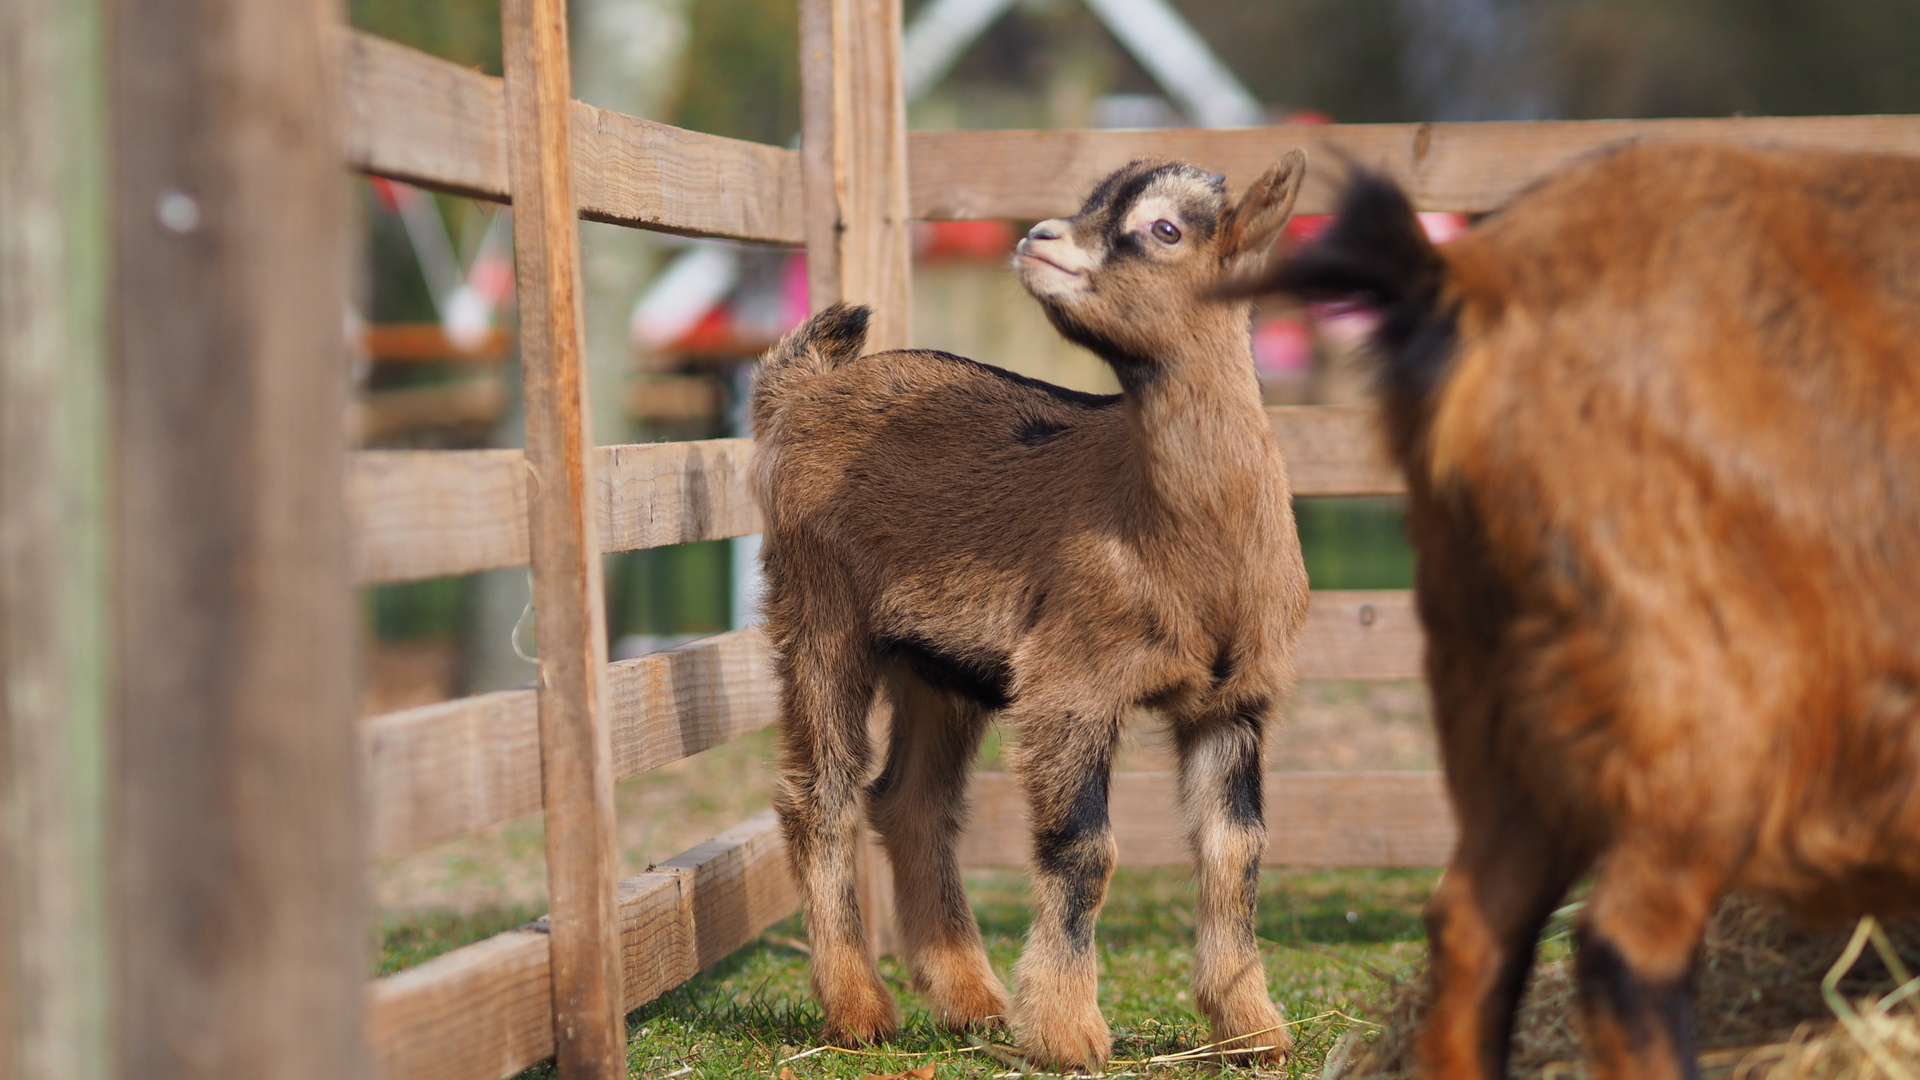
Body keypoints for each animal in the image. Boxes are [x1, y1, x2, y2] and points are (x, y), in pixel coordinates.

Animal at [750, 152, 1312, 1070]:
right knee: (819, 795)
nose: (1038, 238)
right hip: (817, 611)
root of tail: (804, 388)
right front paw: (1066, 1032)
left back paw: (971, 1002)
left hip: (938, 663)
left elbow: (1237, 852)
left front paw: (1252, 1029)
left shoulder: (1236, 699)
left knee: (909, 802)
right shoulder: (1071, 684)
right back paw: (861, 1012)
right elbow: (1083, 849)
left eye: (1164, 229)